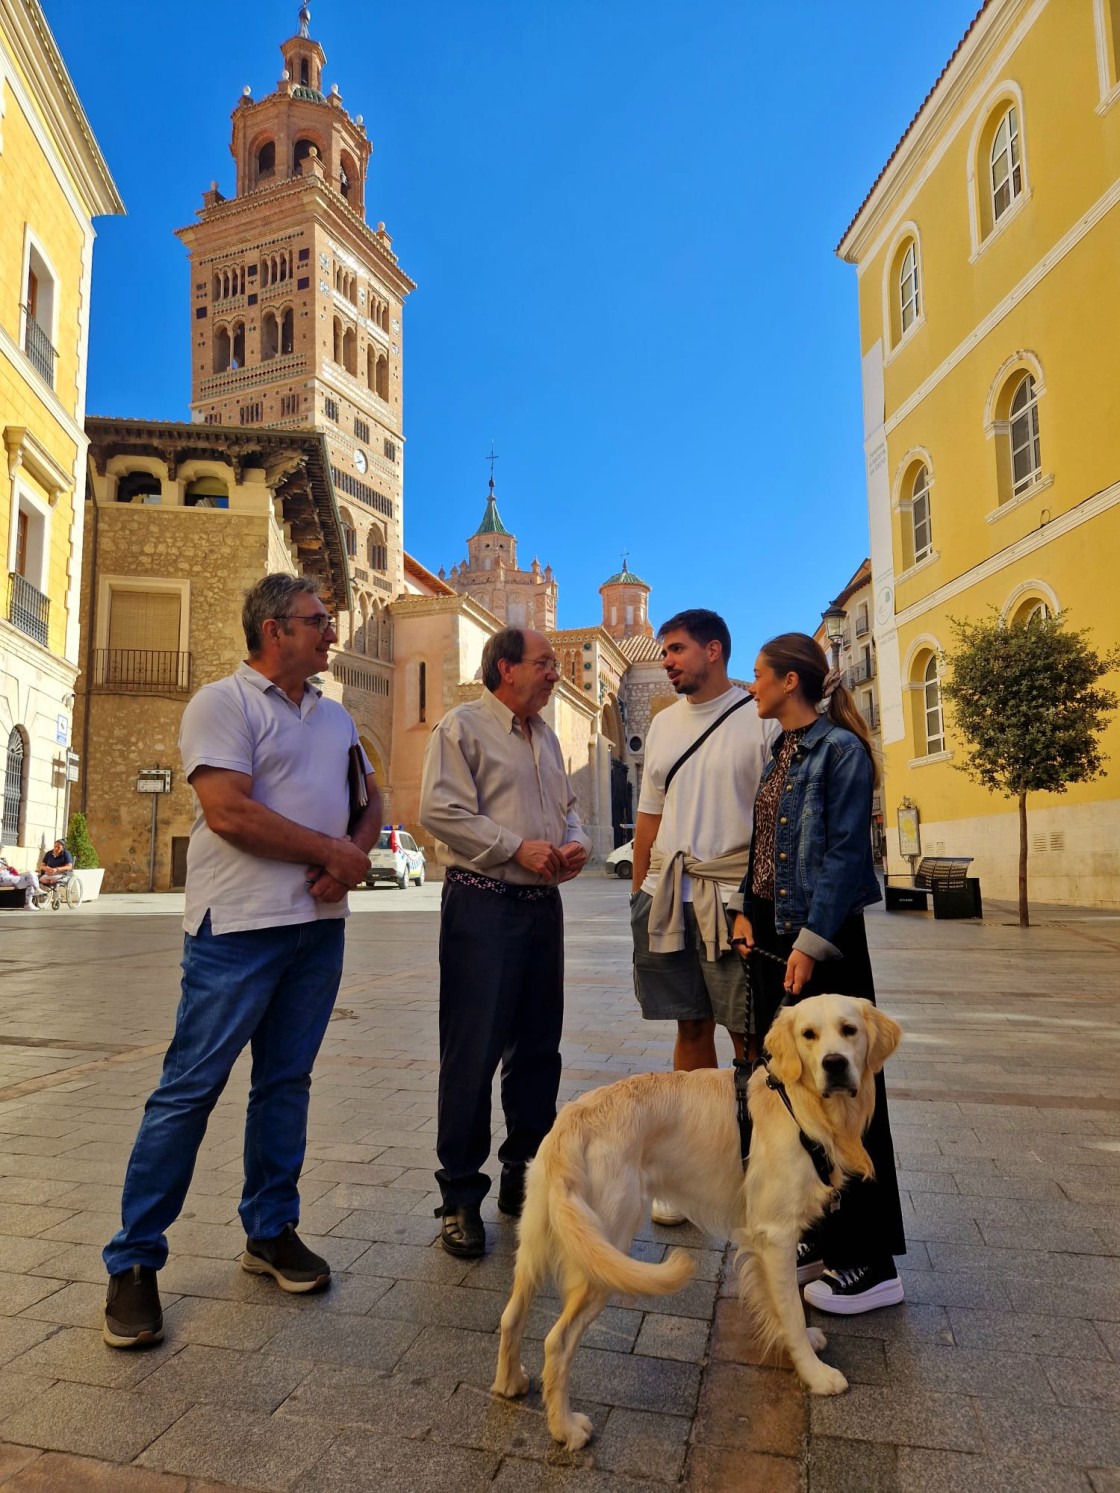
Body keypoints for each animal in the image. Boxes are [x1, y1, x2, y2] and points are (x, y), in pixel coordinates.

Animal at [489, 991, 901, 1445]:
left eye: (849, 1030)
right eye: (809, 1035)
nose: (835, 1064)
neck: (799, 1104)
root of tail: (569, 1128)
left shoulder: (764, 1239)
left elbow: (781, 1304)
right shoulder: (776, 1235)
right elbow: (791, 1311)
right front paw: (815, 1372)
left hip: (536, 1243)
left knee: (511, 1315)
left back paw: (510, 1383)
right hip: (603, 1254)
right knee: (557, 1342)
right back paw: (565, 1427)